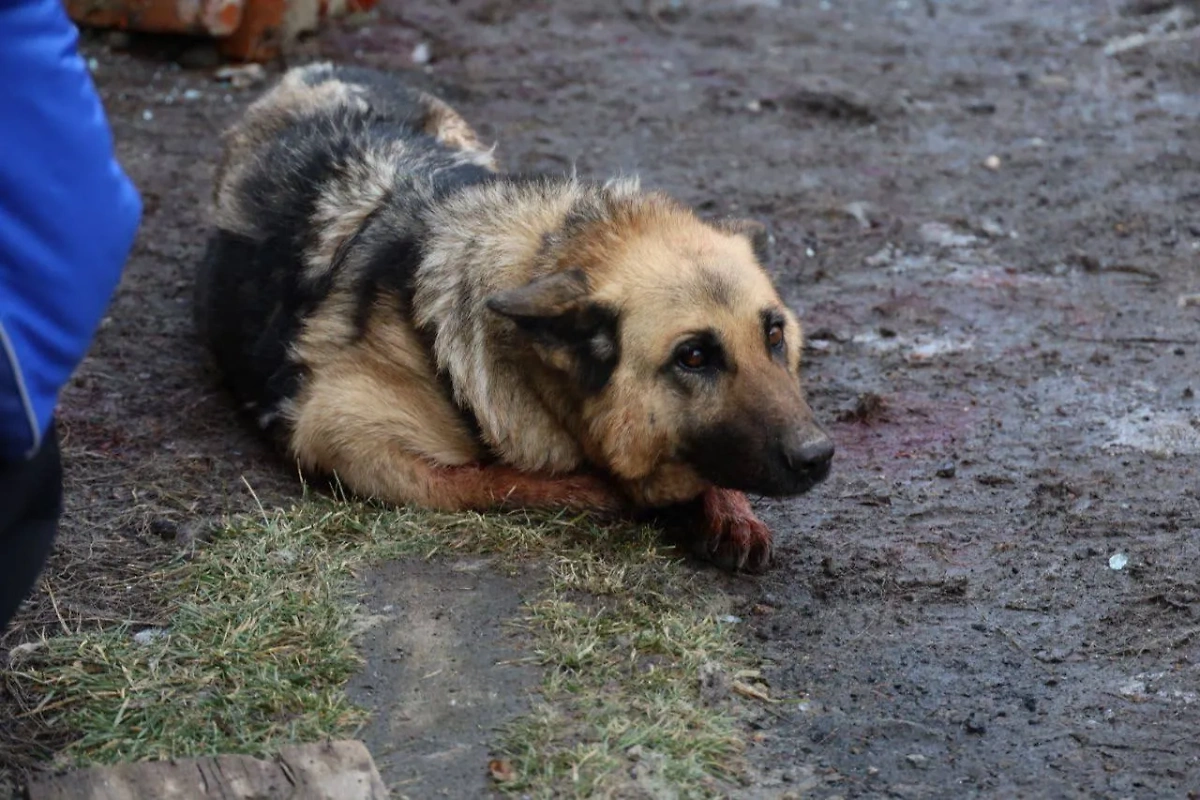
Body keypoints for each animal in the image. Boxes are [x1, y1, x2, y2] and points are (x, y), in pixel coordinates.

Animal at [196, 65, 835, 573]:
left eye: (774, 335)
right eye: (694, 356)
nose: (819, 457)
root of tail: (308, 69)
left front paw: (727, 507)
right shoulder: (341, 431)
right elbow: (483, 480)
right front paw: (604, 493)